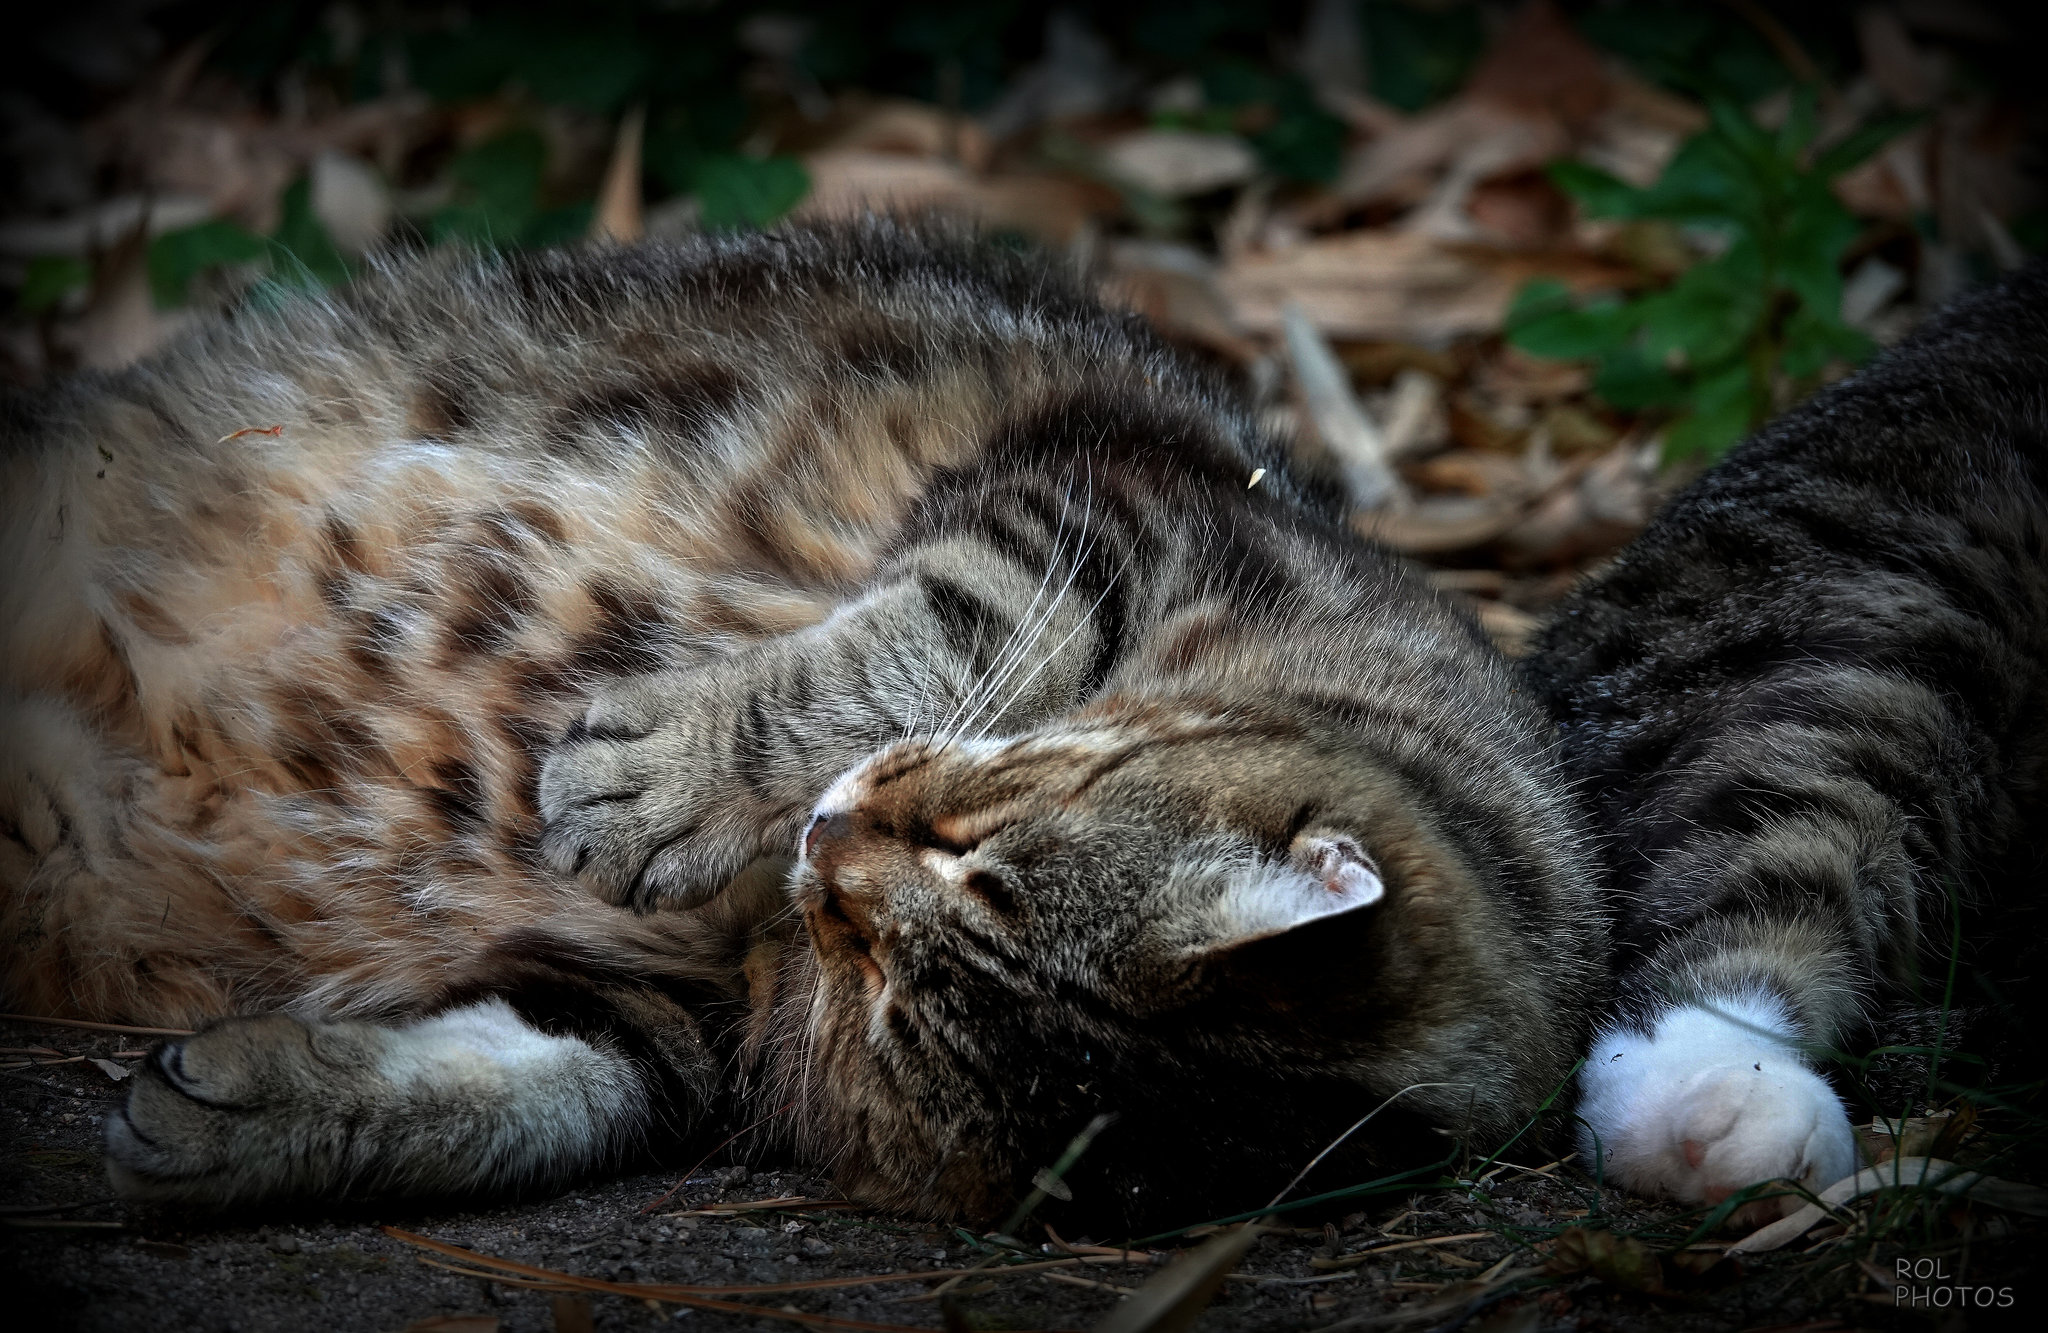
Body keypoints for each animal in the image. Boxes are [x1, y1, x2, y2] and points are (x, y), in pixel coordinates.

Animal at [4, 219, 2031, 1228]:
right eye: (971, 837)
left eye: (882, 978)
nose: (826, 839)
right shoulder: (1103, 501)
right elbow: (909, 633)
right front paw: (669, 771)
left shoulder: (684, 1029)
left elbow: (529, 1088)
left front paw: (261, 1118)